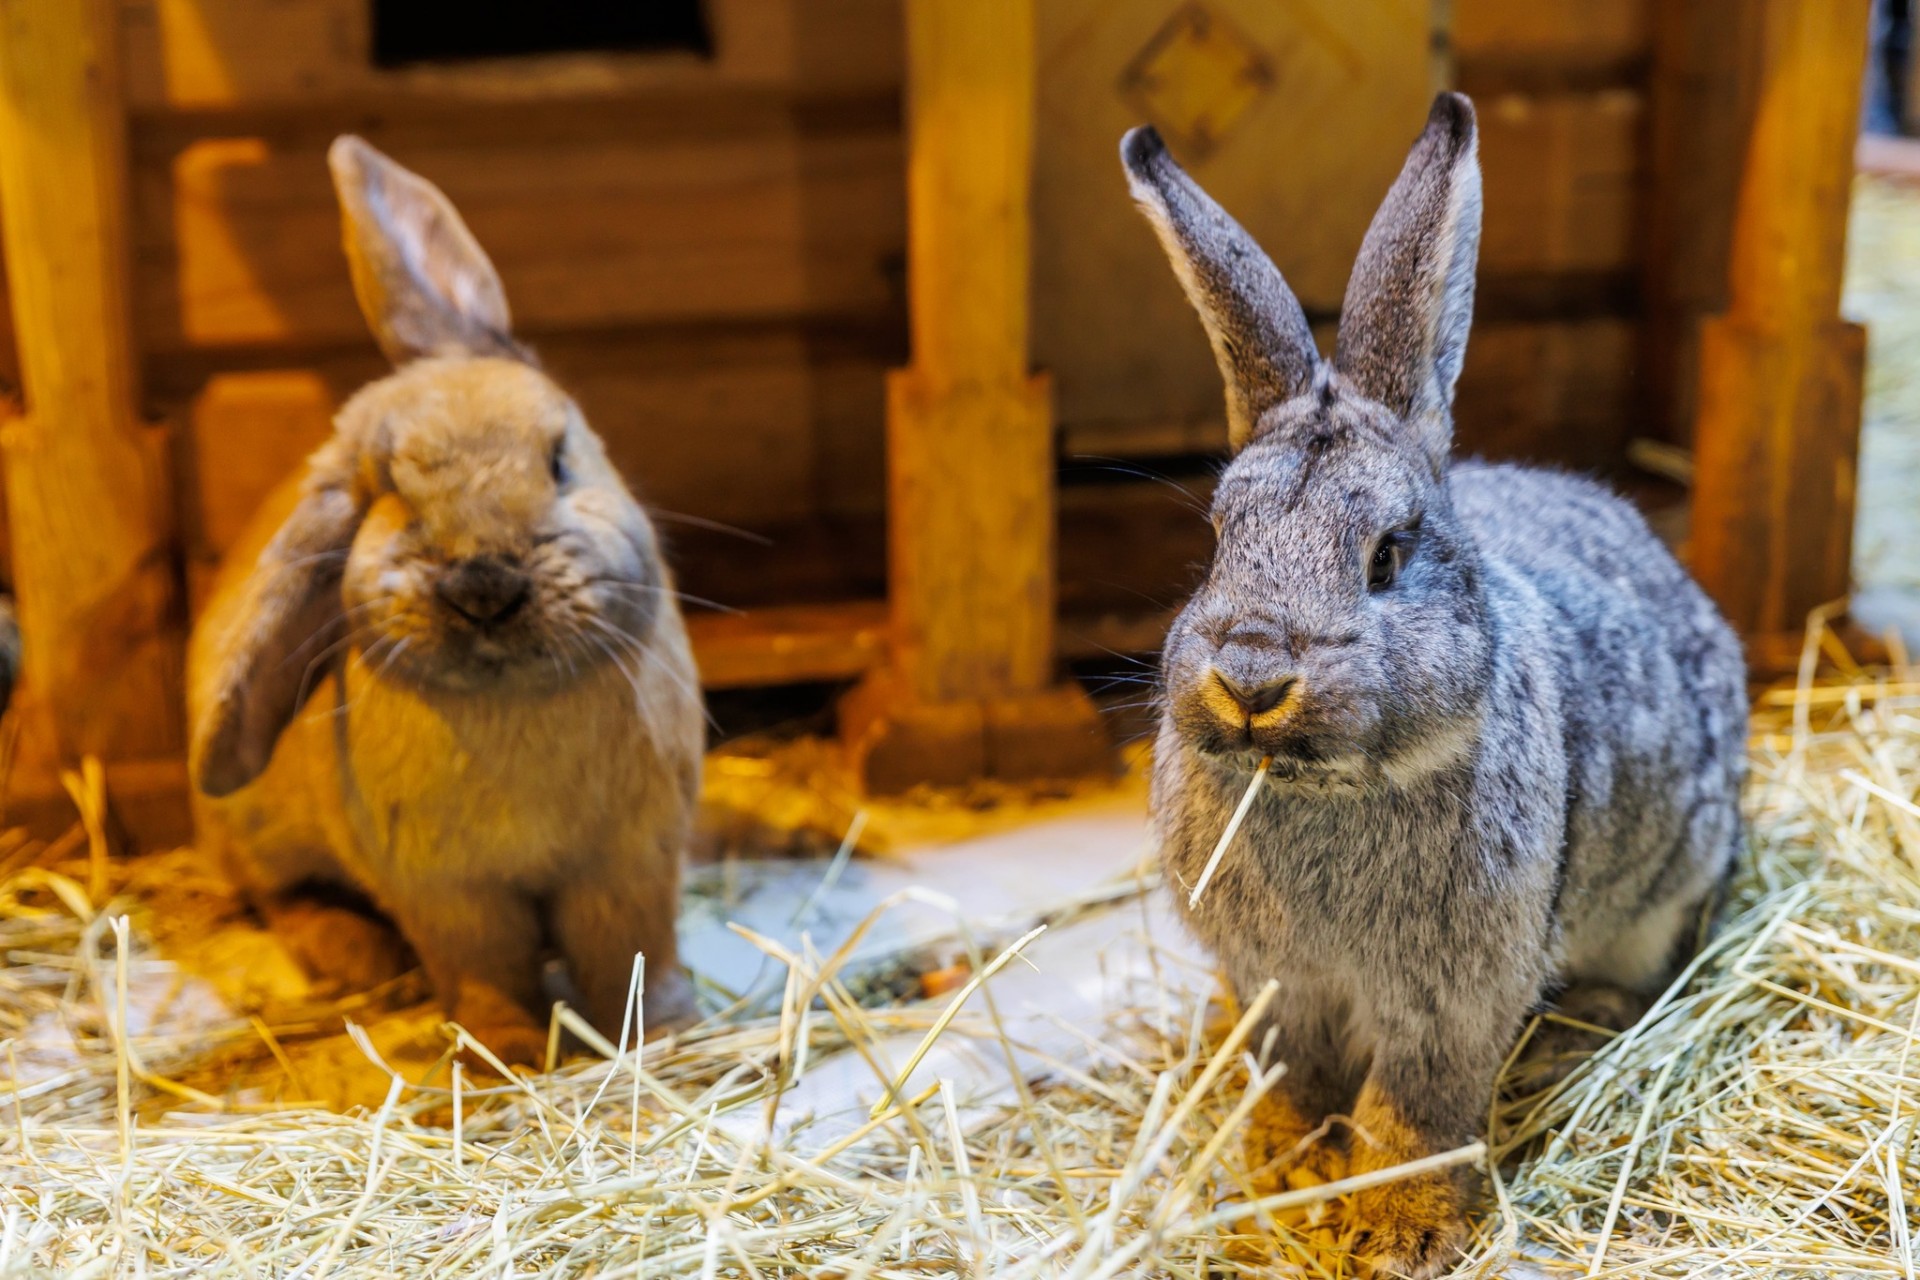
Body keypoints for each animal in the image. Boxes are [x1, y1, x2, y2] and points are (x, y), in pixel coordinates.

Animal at [189, 135, 706, 1066]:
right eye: (388, 491)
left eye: (559, 456)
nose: (483, 585)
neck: (514, 701)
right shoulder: (451, 892)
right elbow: (483, 968)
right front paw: (503, 1054)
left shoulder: (629, 867)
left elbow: (632, 956)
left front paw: (665, 1036)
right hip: (254, 837)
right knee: (277, 897)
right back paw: (354, 951)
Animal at [1128, 94, 1751, 1274]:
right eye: (1220, 537)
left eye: (1386, 554)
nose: (1253, 677)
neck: (1326, 796)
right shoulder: (1275, 982)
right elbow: (1292, 1080)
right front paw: (1283, 1179)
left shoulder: (1449, 999)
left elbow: (1414, 1113)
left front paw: (1398, 1227)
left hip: (1664, 888)